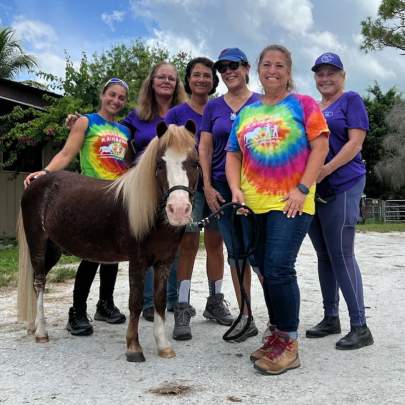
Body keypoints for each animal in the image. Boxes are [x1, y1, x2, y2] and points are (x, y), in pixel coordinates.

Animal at [17, 121, 199, 362]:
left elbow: (159, 302)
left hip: (54, 249)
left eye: (195, 163)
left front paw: (164, 346)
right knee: (39, 282)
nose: (178, 210)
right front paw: (134, 348)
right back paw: (41, 333)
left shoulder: (164, 262)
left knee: (36, 282)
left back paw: (33, 325)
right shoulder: (137, 262)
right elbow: (135, 303)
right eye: (160, 164)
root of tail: (35, 182)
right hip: (37, 243)